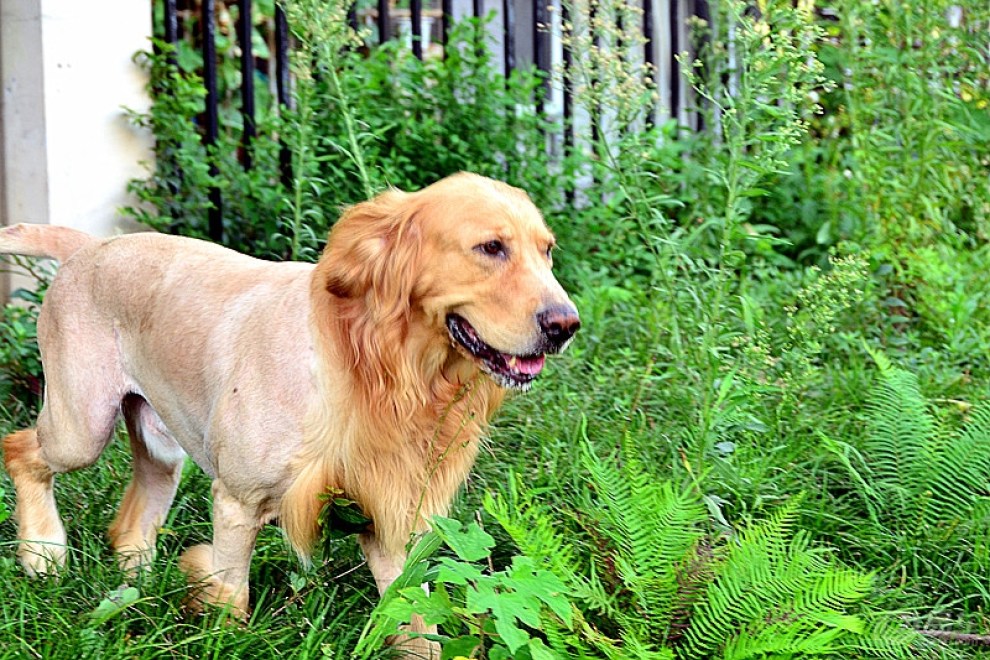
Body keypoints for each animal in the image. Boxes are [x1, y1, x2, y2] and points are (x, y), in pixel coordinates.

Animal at [0, 173, 580, 656]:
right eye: (490, 247)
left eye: (548, 251)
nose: (566, 324)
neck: (378, 369)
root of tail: (88, 246)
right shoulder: (237, 502)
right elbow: (231, 600)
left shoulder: (392, 522)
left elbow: (416, 622)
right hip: (81, 425)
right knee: (21, 449)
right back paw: (43, 552)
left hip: (161, 445)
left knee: (130, 519)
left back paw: (133, 582)